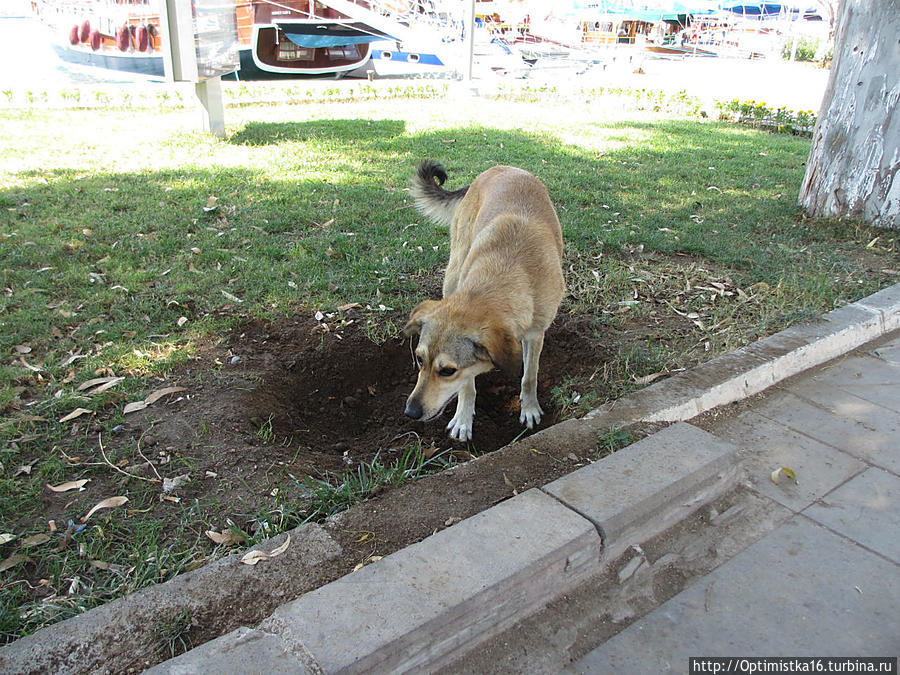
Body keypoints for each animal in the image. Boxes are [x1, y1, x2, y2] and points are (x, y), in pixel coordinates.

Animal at [406, 161, 568, 440]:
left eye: (447, 371)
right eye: (419, 359)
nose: (410, 412)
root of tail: (503, 167)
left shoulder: (536, 334)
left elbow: (530, 375)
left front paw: (529, 407)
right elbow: (467, 386)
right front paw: (463, 418)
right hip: (454, 268)